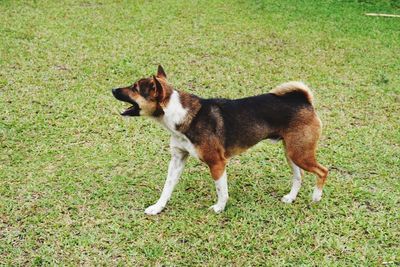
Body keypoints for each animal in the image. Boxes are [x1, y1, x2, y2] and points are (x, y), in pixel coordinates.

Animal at [111, 65, 328, 216]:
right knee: (299, 176)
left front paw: (219, 208)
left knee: (323, 171)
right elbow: (167, 187)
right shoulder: (177, 159)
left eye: (135, 88)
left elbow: (221, 190)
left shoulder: (217, 163)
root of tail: (303, 100)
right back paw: (291, 198)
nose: (113, 89)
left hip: (299, 153)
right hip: (292, 152)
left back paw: (316, 197)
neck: (179, 114)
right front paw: (157, 207)